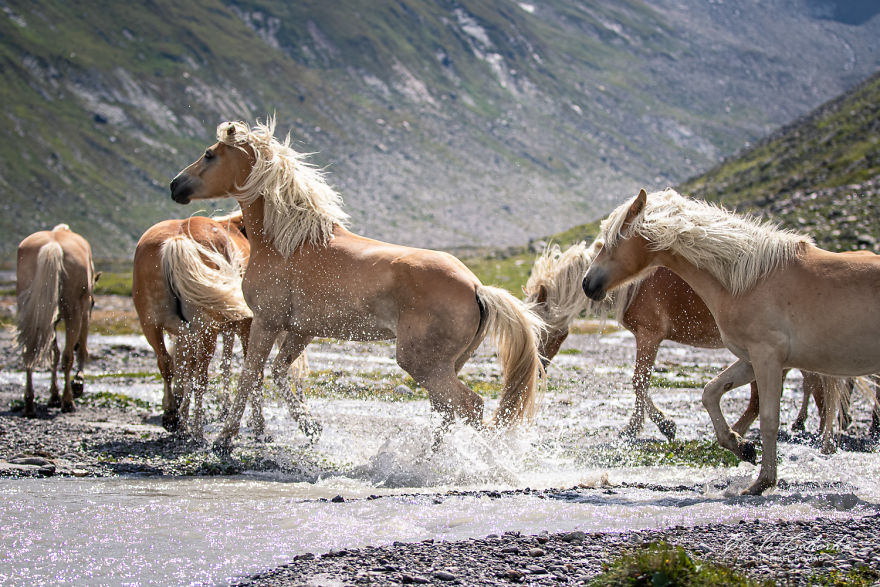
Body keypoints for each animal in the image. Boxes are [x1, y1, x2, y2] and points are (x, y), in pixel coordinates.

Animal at [16, 224, 98, 416]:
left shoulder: (49, 320)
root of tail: (52, 245)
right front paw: (78, 383)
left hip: (28, 310)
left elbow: (54, 354)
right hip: (73, 312)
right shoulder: (84, 309)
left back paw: (29, 403)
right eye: (93, 304)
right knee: (68, 357)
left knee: (28, 351)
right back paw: (67, 401)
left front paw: (53, 396)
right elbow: (81, 349)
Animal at [132, 213, 314, 440]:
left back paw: (175, 416)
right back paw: (197, 430)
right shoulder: (246, 326)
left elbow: (194, 367)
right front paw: (258, 426)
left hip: (153, 326)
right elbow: (252, 373)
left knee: (167, 363)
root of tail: (177, 239)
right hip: (206, 330)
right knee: (200, 376)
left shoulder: (203, 332)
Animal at [169, 118, 545, 452]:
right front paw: (310, 428)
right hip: (448, 365)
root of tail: (477, 288)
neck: (287, 244)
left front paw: (224, 441)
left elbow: (251, 376)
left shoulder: (267, 322)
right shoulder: (301, 330)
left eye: (209, 154)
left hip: (424, 365)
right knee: (447, 410)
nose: (175, 185)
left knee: (470, 407)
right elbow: (279, 372)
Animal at [525, 243, 840, 447]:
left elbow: (639, 380)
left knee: (810, 385)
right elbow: (641, 382)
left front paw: (646, 427)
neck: (632, 283)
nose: (537, 370)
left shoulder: (649, 335)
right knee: (809, 383)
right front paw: (655, 426)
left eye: (540, 330)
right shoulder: (648, 337)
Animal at [583, 188, 880, 494]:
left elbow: (769, 418)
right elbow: (711, 392)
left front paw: (762, 481)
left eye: (615, 239)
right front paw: (741, 446)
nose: (587, 284)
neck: (750, 280)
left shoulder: (765, 357)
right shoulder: (751, 359)